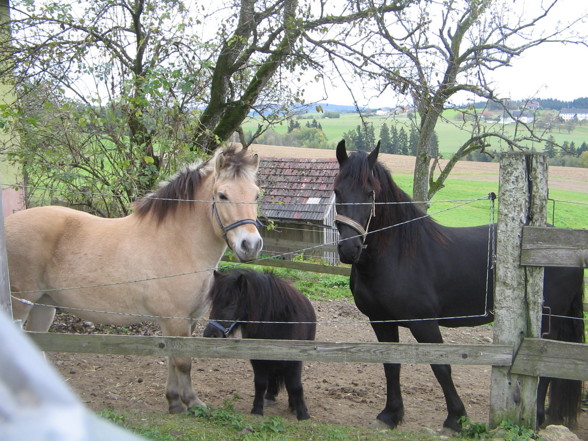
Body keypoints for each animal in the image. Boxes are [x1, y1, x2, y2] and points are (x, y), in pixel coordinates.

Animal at [5, 144, 262, 412]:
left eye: (256, 195)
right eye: (222, 195)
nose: (251, 245)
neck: (178, 243)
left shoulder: (184, 320)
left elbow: (172, 359)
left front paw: (174, 400)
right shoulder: (176, 320)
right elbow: (183, 361)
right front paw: (191, 402)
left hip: (44, 306)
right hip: (20, 305)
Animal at [204, 268, 320, 420]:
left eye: (232, 303)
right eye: (214, 302)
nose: (210, 334)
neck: (277, 323)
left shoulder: (295, 358)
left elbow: (294, 385)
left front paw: (301, 412)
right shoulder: (257, 358)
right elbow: (260, 383)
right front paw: (257, 409)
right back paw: (269, 396)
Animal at [330, 140, 584, 430]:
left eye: (370, 192)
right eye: (337, 191)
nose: (349, 249)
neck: (398, 256)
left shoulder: (424, 323)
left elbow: (441, 367)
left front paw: (456, 418)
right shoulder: (380, 321)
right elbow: (391, 364)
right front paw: (390, 414)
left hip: (548, 320)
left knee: (545, 365)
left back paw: (539, 417)